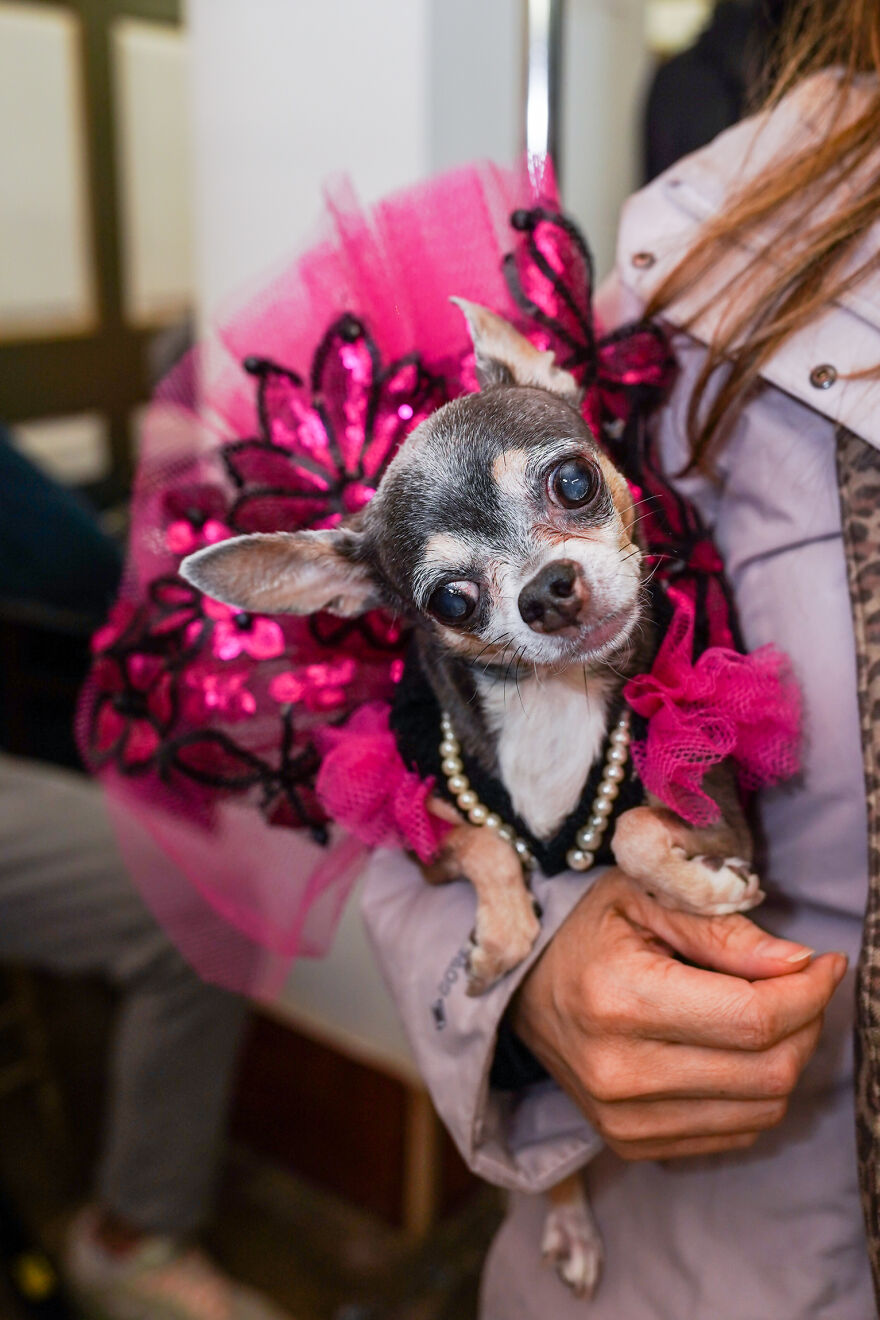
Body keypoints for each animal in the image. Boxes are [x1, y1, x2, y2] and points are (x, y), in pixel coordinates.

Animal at [184, 302, 765, 1298]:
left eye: (573, 481)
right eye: (451, 600)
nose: (547, 592)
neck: (555, 701)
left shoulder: (723, 816)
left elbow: (638, 826)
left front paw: (703, 890)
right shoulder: (421, 829)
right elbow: (487, 845)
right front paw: (499, 939)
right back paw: (567, 1217)